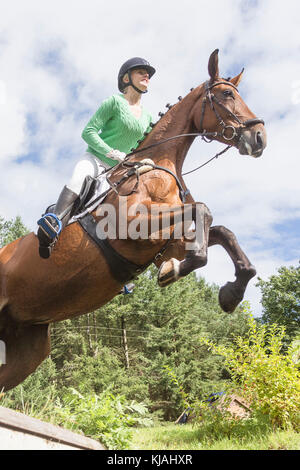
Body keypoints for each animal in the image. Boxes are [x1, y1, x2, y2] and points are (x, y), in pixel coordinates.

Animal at [0, 49, 268, 392]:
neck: (161, 166)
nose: (259, 137)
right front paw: (176, 270)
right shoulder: (132, 224)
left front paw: (230, 293)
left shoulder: (169, 239)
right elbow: (204, 211)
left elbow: (221, 231)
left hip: (26, 345)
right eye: (226, 94)